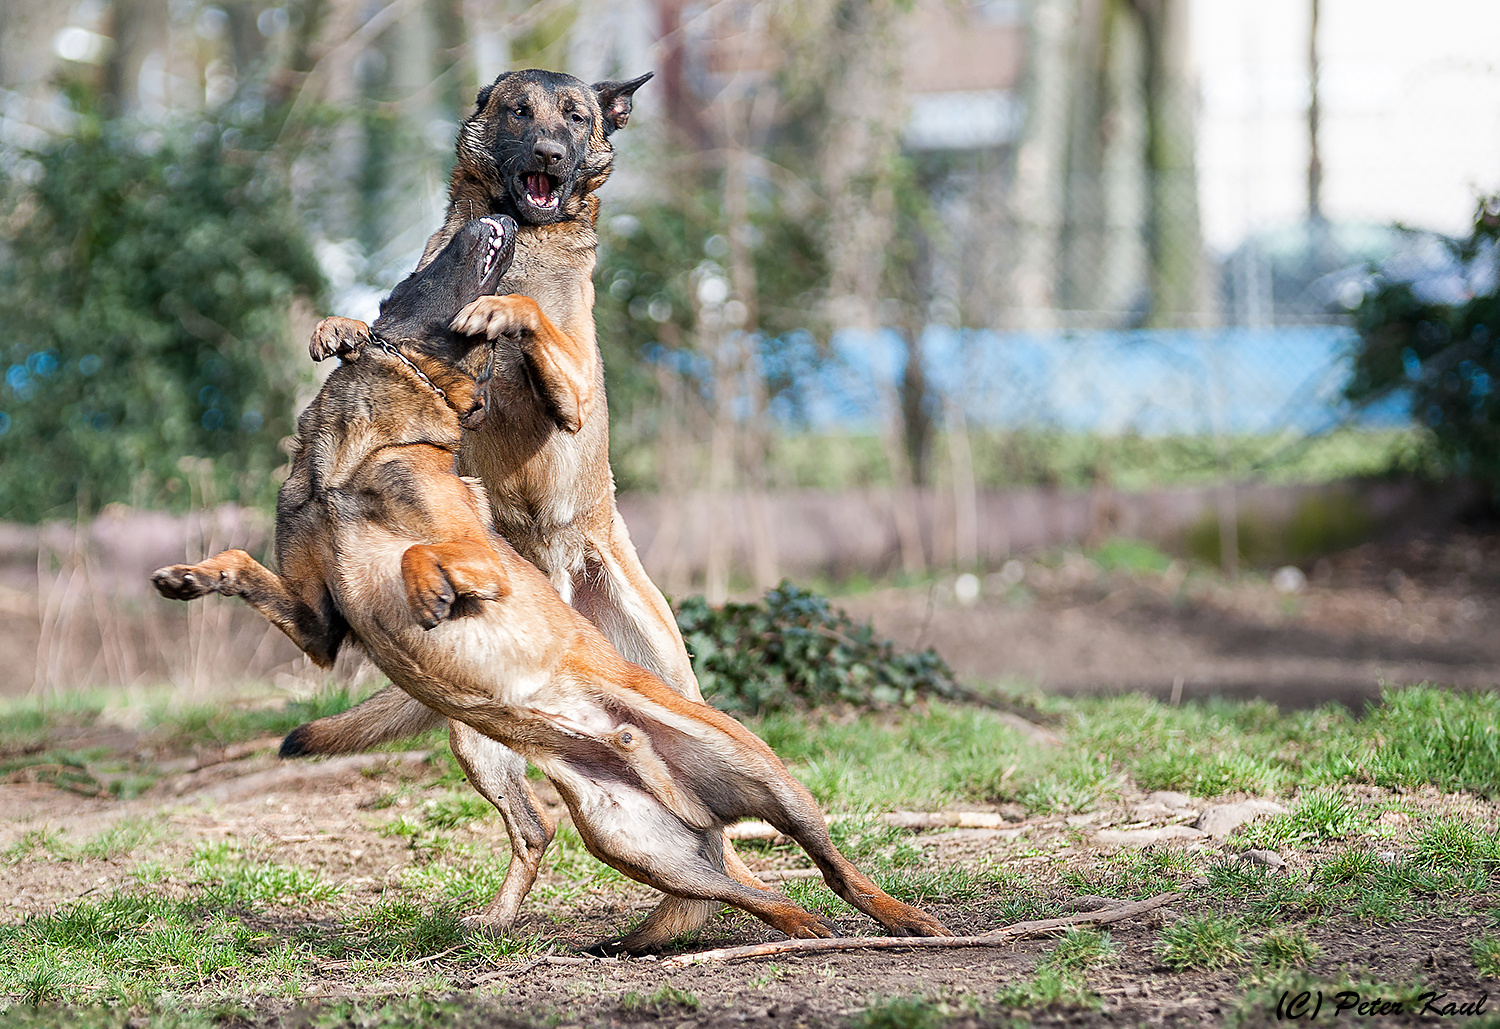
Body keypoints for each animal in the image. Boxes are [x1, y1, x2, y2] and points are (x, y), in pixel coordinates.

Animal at [149, 213, 948, 954]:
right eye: (425, 267)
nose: (496, 218)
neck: (358, 456)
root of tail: (656, 770)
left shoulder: (483, 563)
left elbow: (420, 555)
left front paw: (429, 595)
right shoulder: (319, 627)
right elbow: (244, 565)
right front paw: (190, 575)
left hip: (766, 776)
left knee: (829, 859)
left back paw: (902, 918)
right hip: (623, 838)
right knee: (735, 887)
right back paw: (781, 925)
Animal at [289, 68, 762, 948]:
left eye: (575, 117)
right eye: (517, 111)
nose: (547, 152)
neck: (529, 247)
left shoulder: (572, 385)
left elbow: (534, 326)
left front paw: (501, 315)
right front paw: (340, 324)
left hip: (663, 685)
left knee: (719, 833)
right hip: (480, 730)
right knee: (535, 825)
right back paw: (499, 920)